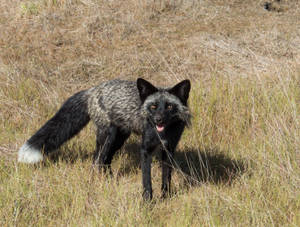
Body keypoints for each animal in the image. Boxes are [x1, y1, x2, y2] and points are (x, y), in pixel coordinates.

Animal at [18, 77, 191, 199]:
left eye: (169, 106)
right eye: (153, 106)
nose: (158, 120)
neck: (163, 133)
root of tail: (92, 90)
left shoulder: (169, 150)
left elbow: (166, 178)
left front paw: (165, 198)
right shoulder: (145, 149)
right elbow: (147, 181)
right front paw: (147, 202)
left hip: (119, 139)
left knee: (105, 161)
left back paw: (111, 182)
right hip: (108, 137)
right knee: (97, 161)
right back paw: (100, 184)